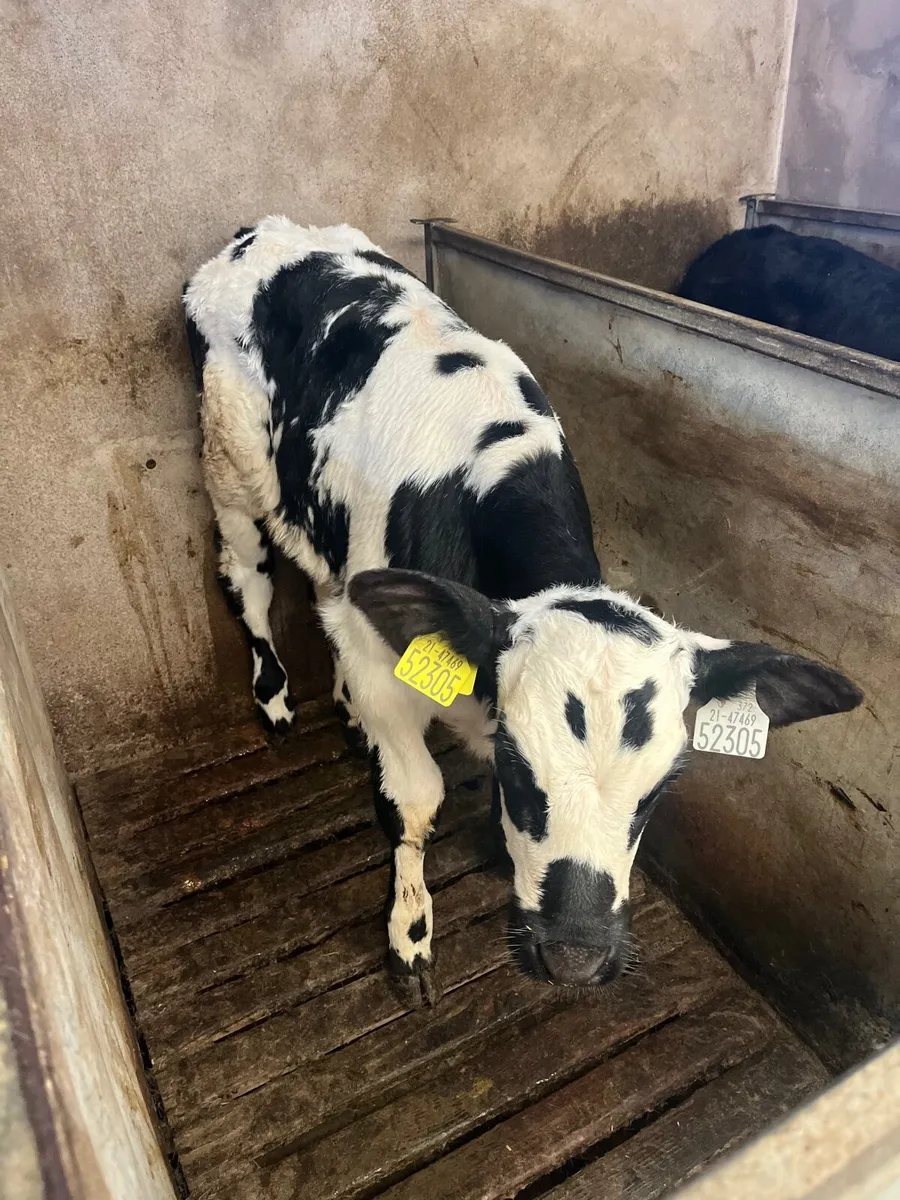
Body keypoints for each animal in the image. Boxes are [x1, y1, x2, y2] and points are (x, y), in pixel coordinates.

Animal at [183, 217, 863, 1007]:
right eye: (516, 762)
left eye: (658, 792)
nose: (576, 958)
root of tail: (265, 231)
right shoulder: (389, 671)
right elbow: (414, 800)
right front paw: (409, 936)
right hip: (227, 469)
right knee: (249, 578)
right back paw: (276, 699)